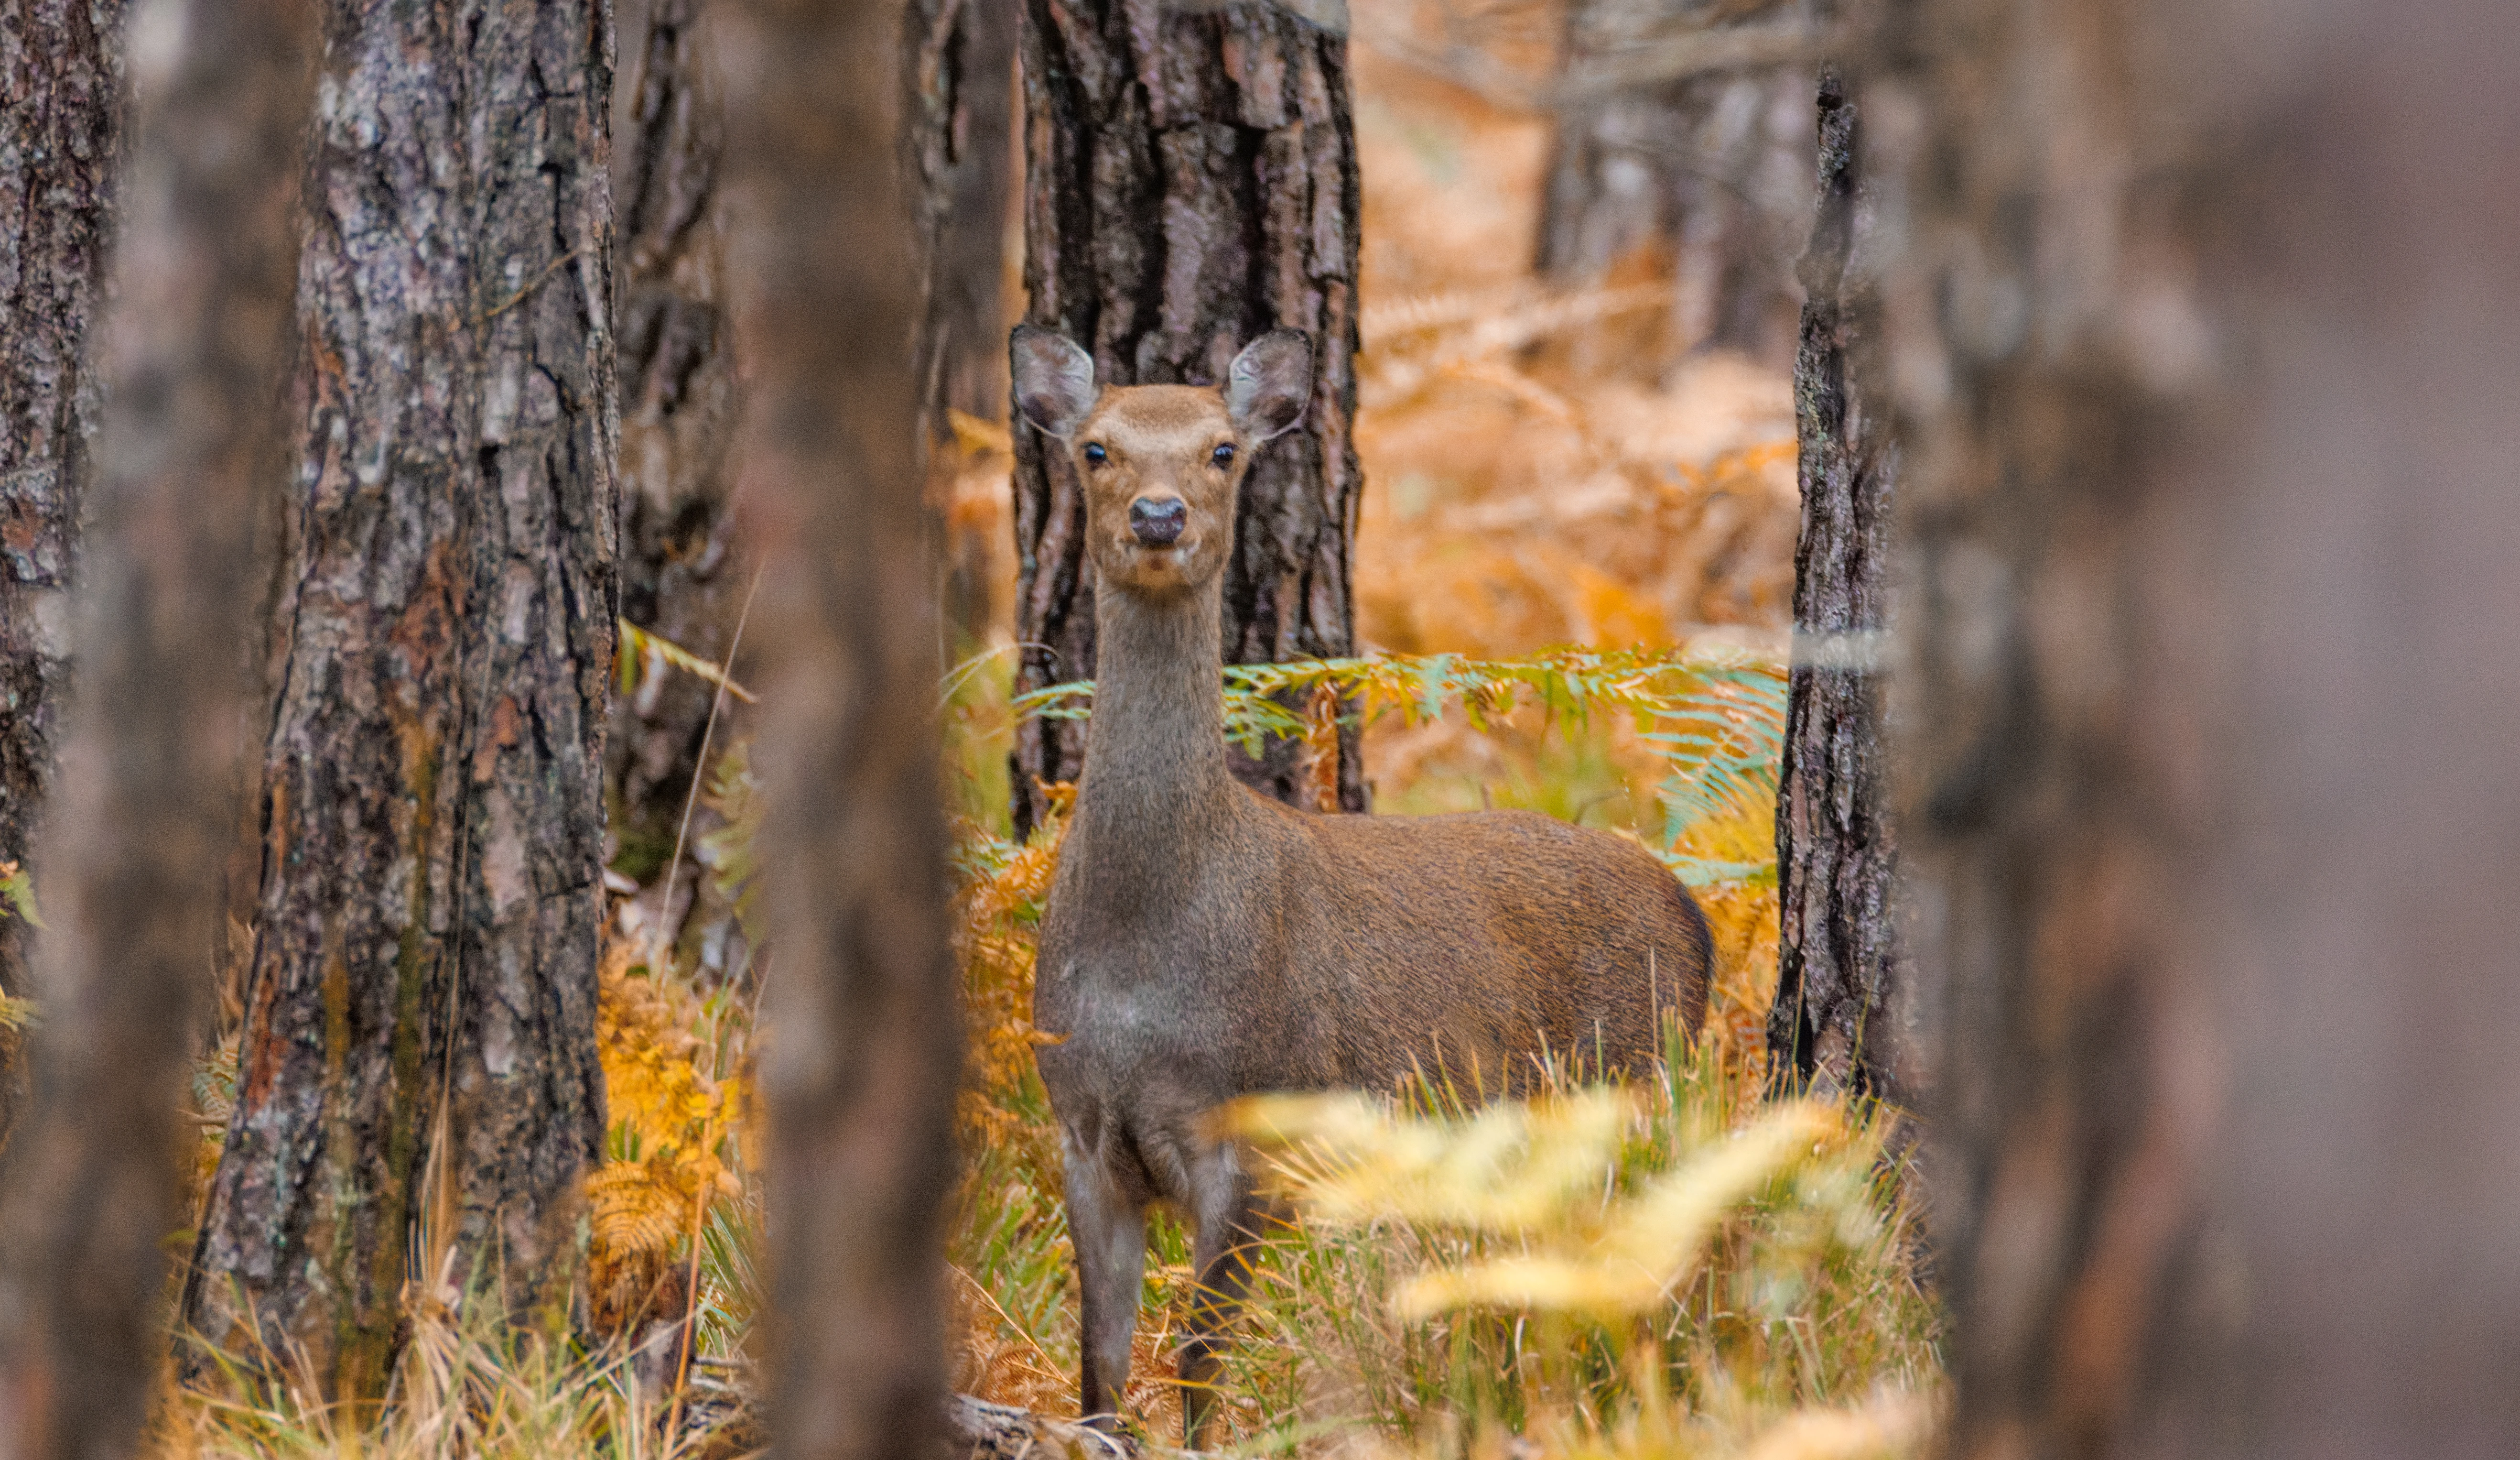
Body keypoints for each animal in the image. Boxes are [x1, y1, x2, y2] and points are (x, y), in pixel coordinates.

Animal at [1010, 324, 1714, 1447]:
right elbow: (1101, 1372)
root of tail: (1691, 912)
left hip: (1636, 1083)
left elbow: (1199, 1362)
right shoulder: (1081, 1133)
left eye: (1221, 450)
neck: (1142, 962)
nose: (1157, 517)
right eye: (1095, 448)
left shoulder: (1255, 1132)